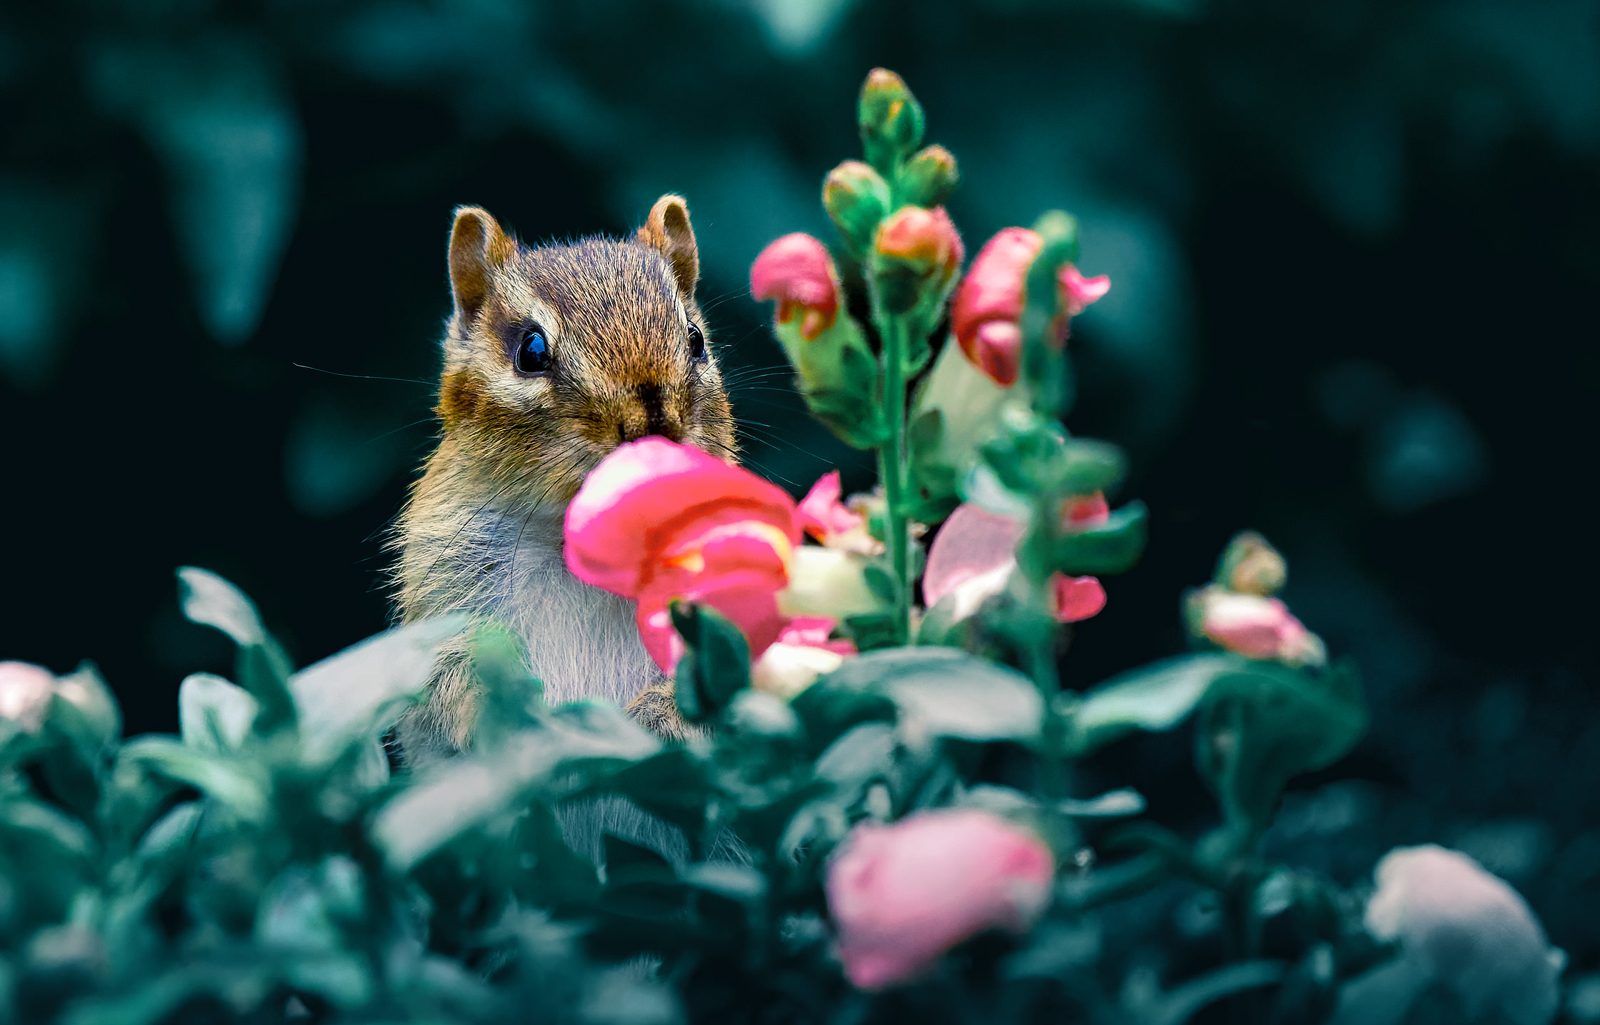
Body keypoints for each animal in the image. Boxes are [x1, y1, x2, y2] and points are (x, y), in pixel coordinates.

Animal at [389, 195, 737, 768]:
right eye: (531, 351)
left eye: (696, 339)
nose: (652, 422)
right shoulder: (444, 596)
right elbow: (448, 682)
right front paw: (503, 705)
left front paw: (666, 712)